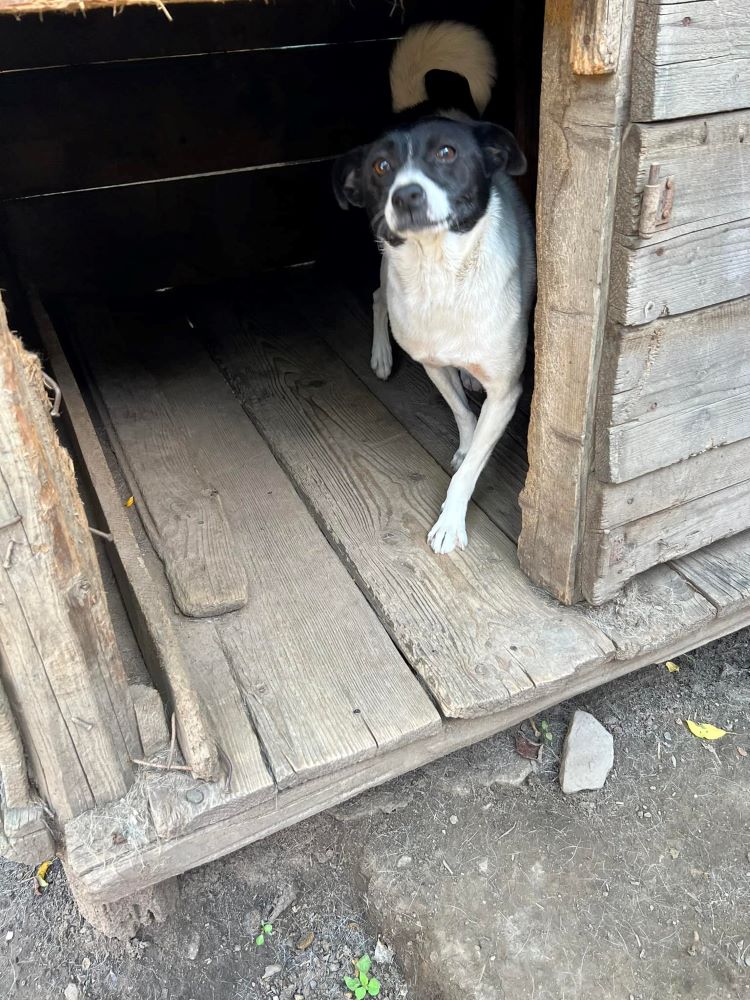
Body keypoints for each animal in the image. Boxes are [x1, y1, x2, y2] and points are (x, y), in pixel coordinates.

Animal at [334, 21, 536, 556]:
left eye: (447, 153)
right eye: (380, 167)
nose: (407, 195)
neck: (442, 278)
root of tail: (422, 105)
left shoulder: (507, 391)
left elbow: (473, 452)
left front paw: (451, 520)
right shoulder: (429, 360)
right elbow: (463, 417)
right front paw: (465, 445)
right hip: (384, 260)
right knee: (379, 296)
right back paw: (383, 354)